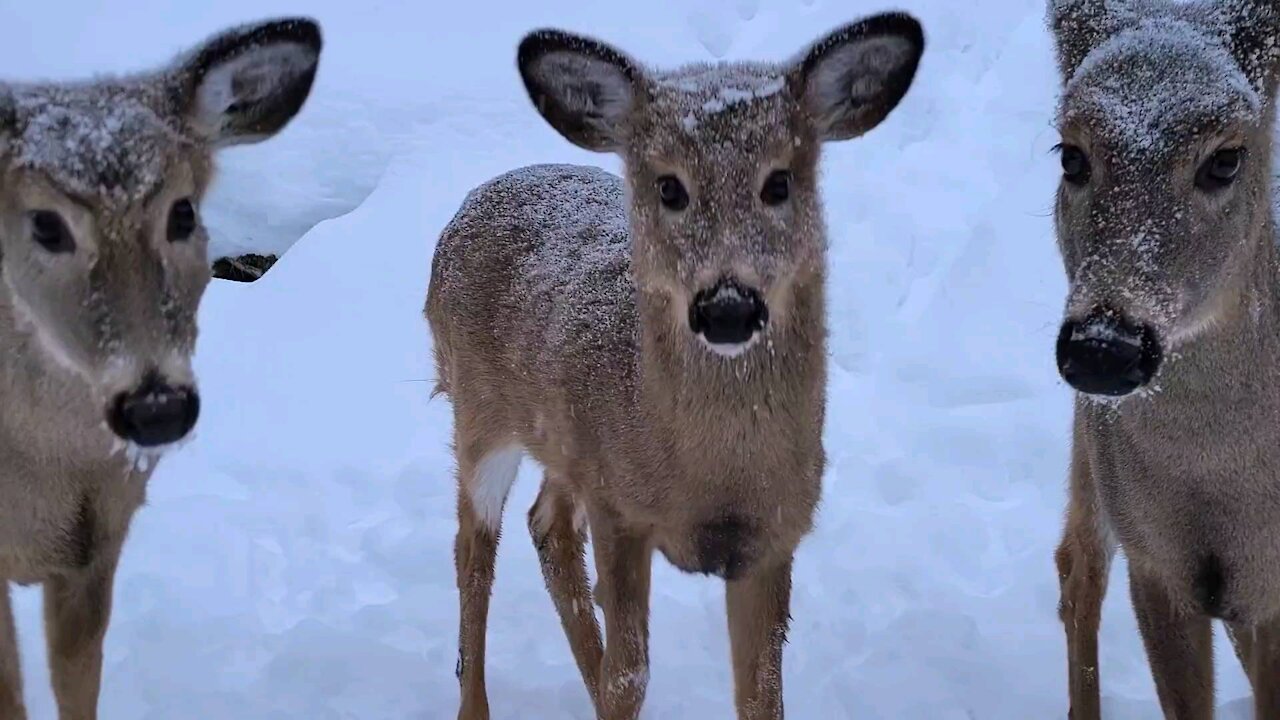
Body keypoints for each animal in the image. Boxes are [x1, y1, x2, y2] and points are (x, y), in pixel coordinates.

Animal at [424, 11, 926, 717]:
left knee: (547, 526)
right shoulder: (620, 509)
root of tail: (470, 204)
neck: (712, 477)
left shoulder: (773, 536)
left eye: (779, 182)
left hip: (565, 444)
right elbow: (630, 673)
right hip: (479, 412)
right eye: (670, 186)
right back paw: (477, 703)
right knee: (474, 550)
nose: (728, 308)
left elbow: (761, 691)